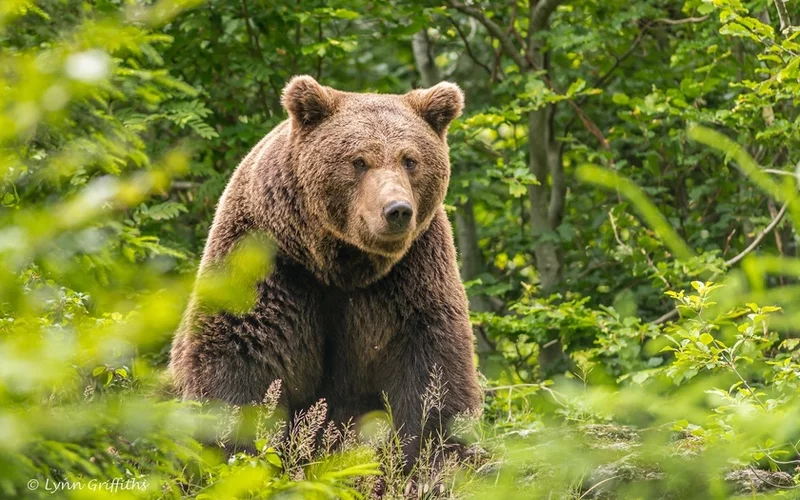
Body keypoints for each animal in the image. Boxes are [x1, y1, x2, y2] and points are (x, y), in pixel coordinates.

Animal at [170, 75, 482, 468]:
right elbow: (239, 355)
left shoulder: (412, 275)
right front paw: (230, 450)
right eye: (359, 160)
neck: (340, 263)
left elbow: (432, 373)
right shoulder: (269, 263)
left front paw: (430, 459)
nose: (397, 210)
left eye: (410, 159)